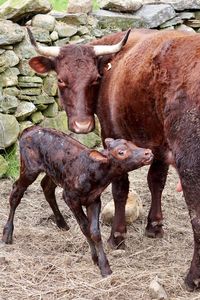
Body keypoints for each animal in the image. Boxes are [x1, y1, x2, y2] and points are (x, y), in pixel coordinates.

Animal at [1, 126, 153, 276]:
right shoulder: (70, 197)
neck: (95, 175)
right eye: (121, 152)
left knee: (46, 187)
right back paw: (7, 234)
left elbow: (95, 231)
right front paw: (97, 259)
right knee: (16, 191)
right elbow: (85, 227)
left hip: (53, 171)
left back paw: (62, 223)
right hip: (29, 167)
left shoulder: (94, 199)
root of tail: (27, 129)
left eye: (133, 144)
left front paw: (103, 265)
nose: (148, 153)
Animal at [27, 29, 200, 290]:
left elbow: (120, 189)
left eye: (95, 79)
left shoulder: (113, 133)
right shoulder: (158, 143)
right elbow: (156, 181)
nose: (82, 125)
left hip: (190, 166)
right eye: (61, 80)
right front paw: (154, 226)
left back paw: (192, 278)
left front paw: (117, 236)